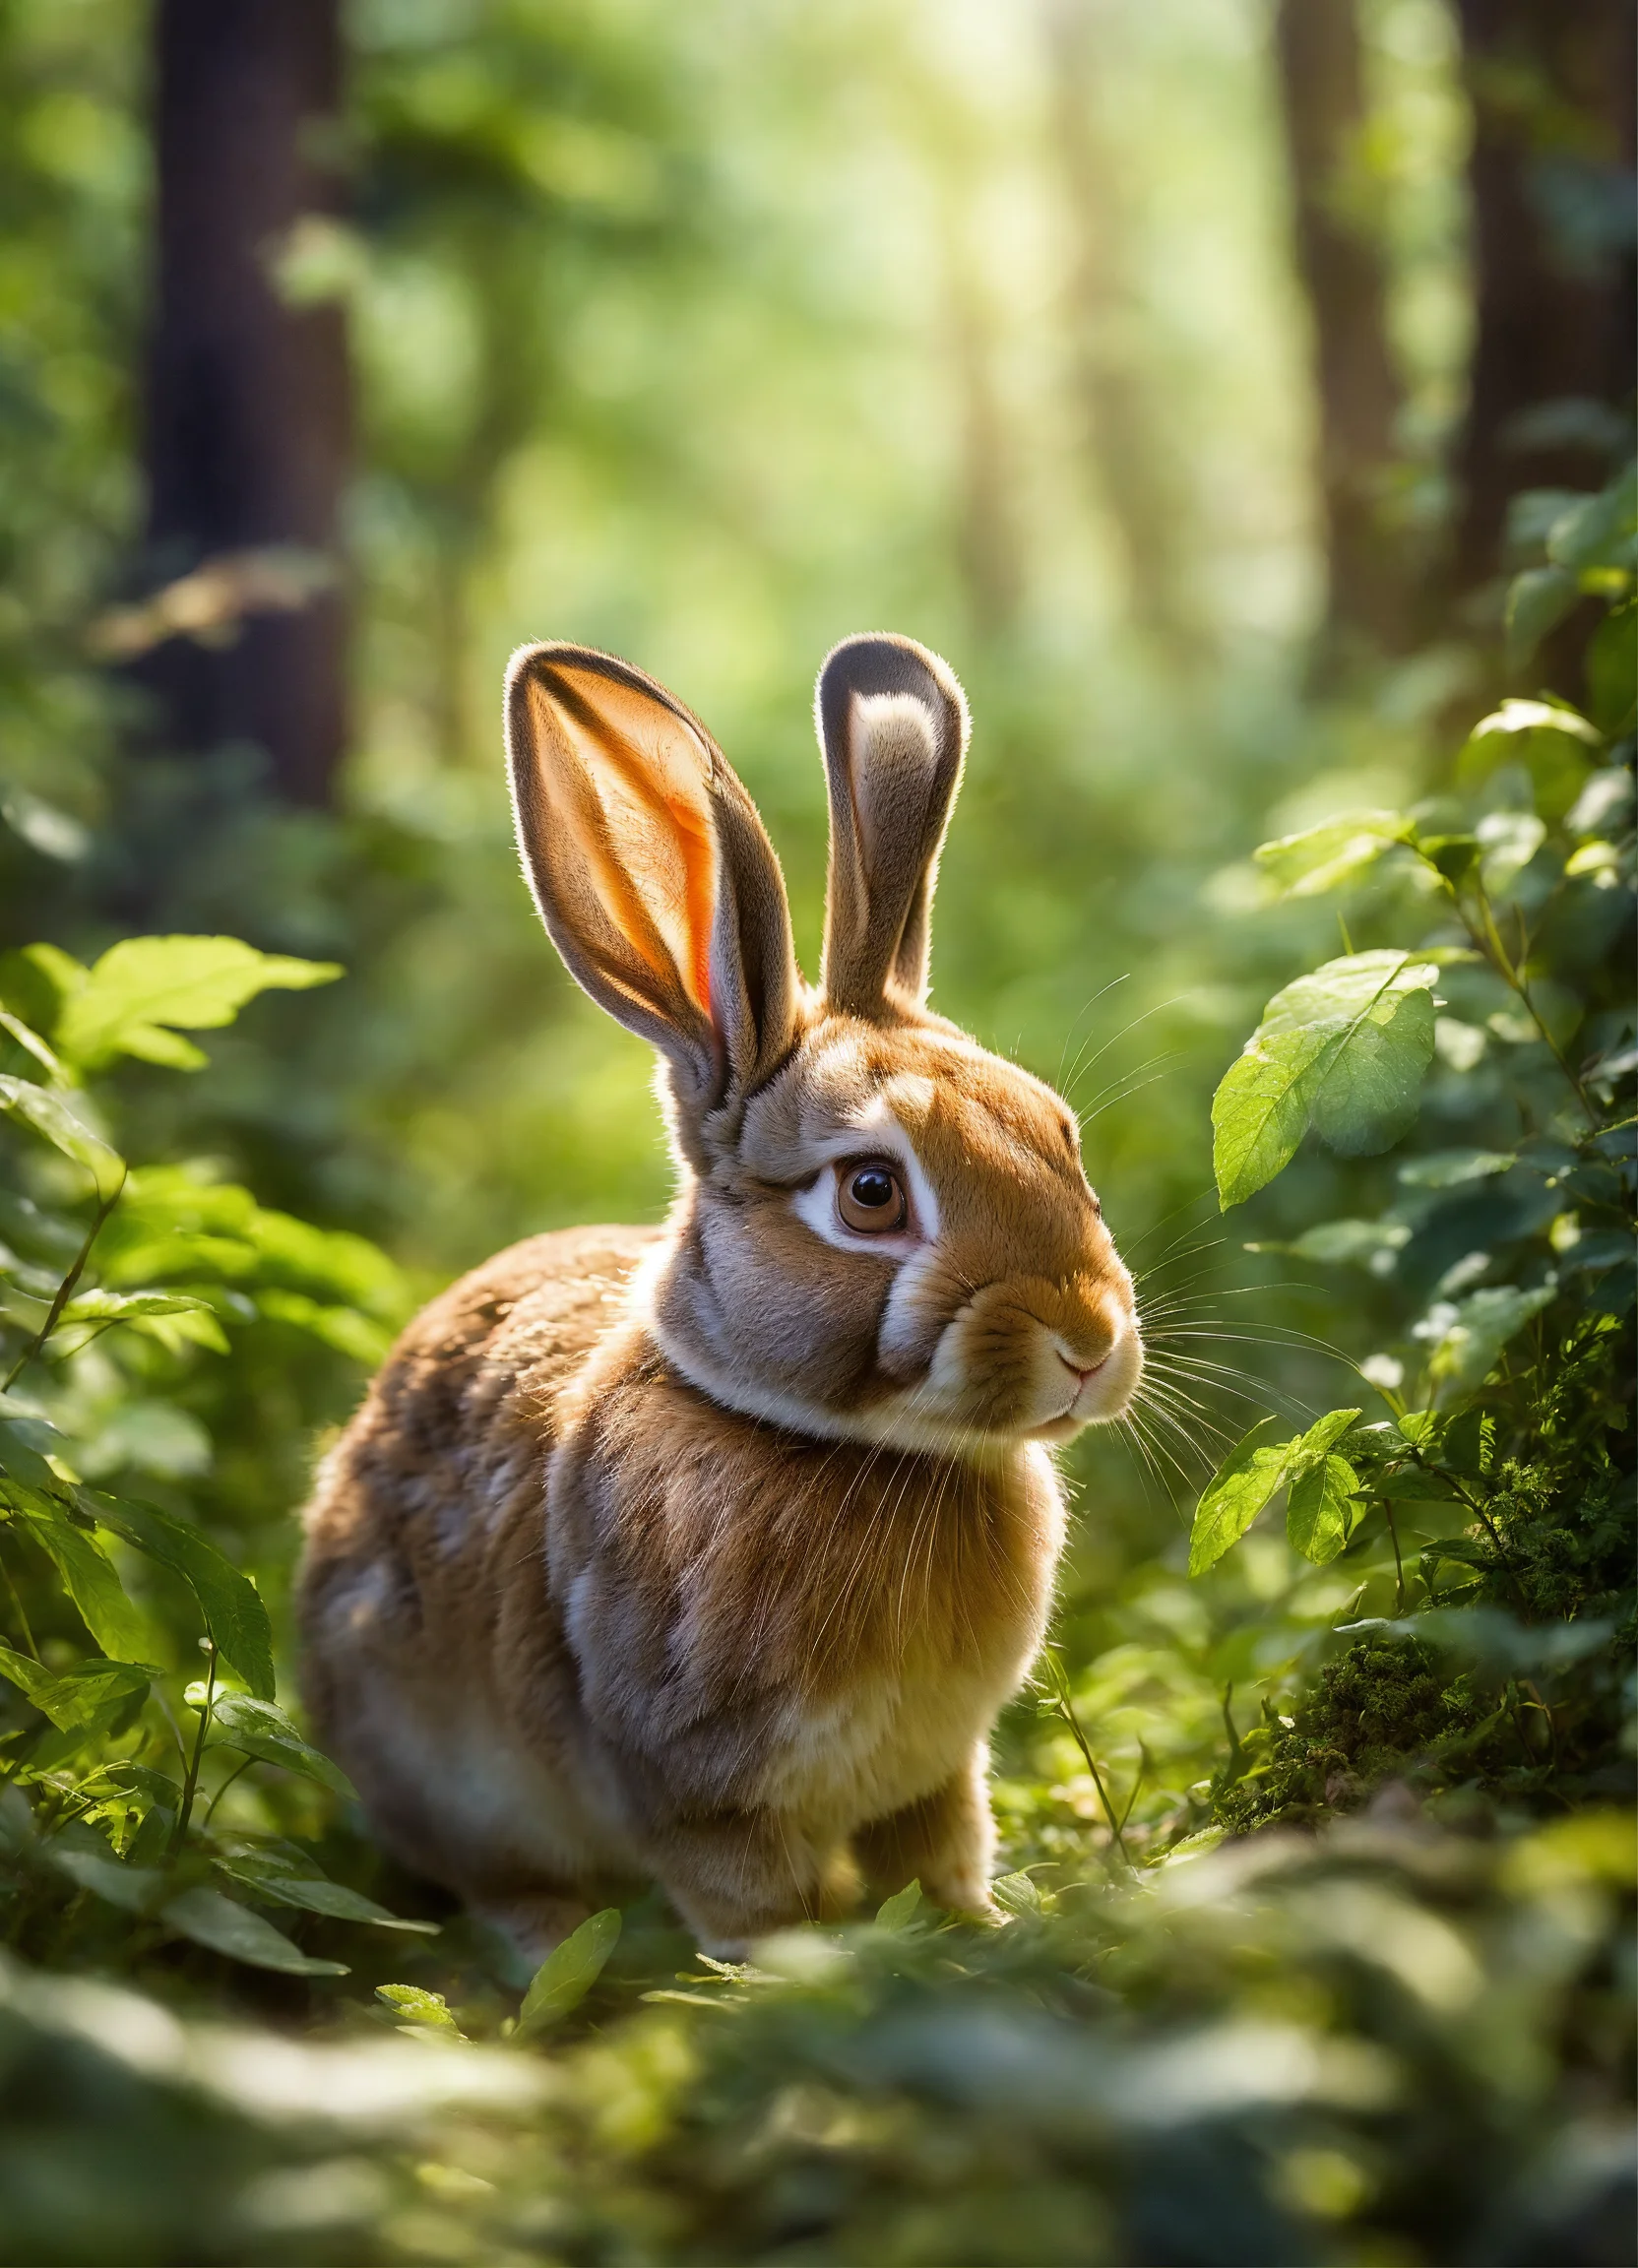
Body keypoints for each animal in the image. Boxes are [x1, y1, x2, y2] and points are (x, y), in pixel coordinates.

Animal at [296, 633, 1142, 1960]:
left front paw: (982, 1931)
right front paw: (794, 1976)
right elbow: (751, 1901)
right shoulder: (699, 1791)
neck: (845, 1449)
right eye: (868, 1194)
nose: (1088, 1341)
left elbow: (941, 1854)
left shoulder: (933, 1771)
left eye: (1058, 1135)